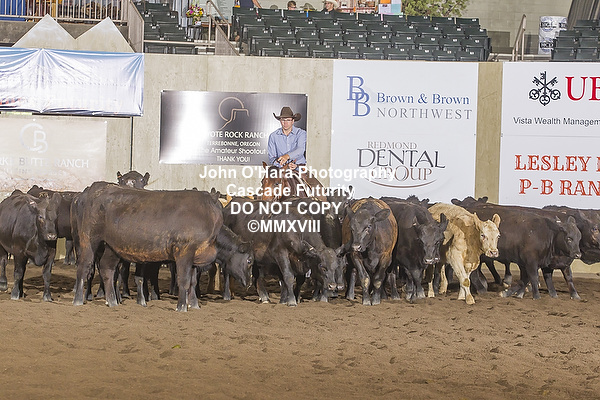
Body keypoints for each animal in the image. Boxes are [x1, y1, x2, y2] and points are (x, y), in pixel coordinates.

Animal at [71, 182, 223, 311]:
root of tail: (97, 186)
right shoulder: (184, 251)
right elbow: (184, 280)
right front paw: (181, 307)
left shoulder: (195, 256)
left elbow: (193, 282)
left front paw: (194, 305)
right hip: (88, 239)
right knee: (84, 267)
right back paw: (78, 300)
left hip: (111, 246)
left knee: (107, 268)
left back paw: (113, 302)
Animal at [452, 197, 582, 300]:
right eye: (569, 238)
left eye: (579, 237)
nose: (578, 254)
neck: (547, 235)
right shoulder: (531, 261)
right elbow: (533, 278)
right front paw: (536, 296)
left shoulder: (538, 263)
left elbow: (527, 279)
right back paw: (481, 288)